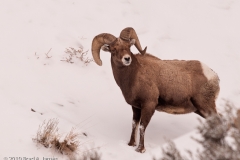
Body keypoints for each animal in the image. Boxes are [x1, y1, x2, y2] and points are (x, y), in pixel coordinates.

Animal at [91, 27, 219, 152]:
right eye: (113, 49)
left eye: (128, 47)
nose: (127, 59)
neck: (134, 75)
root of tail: (213, 76)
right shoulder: (136, 107)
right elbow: (134, 124)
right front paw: (131, 144)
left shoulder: (149, 105)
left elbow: (142, 126)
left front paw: (140, 149)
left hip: (205, 107)